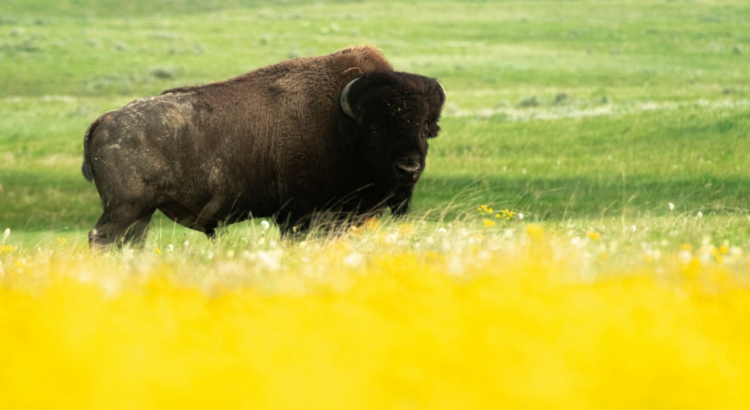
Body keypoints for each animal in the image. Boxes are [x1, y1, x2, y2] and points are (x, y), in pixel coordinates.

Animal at [82, 45, 445, 247]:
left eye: (426, 128)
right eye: (375, 127)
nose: (408, 169)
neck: (339, 121)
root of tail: (106, 119)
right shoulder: (302, 213)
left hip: (141, 212)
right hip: (125, 208)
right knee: (102, 239)